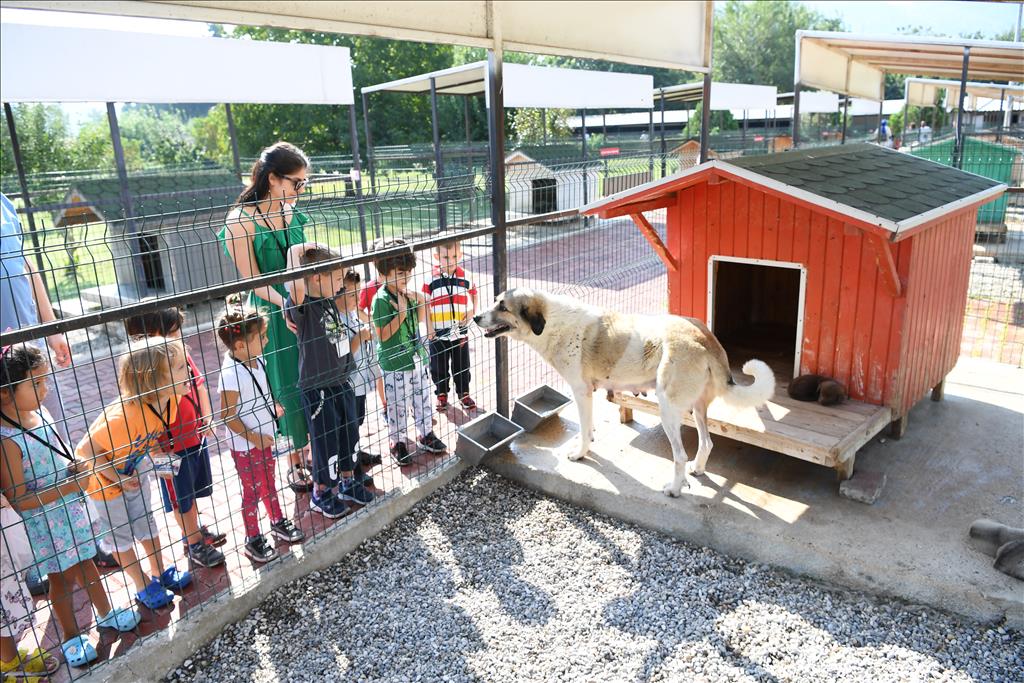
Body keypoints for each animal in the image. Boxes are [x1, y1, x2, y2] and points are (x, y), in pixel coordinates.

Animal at [474, 288, 776, 496]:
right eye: (495, 301)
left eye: (503, 307)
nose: (476, 317)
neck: (550, 322)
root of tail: (705, 338)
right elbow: (588, 427)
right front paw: (589, 440)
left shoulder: (581, 391)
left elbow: (583, 427)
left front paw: (580, 454)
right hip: (697, 408)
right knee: (706, 443)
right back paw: (698, 469)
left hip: (668, 409)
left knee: (679, 455)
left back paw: (674, 489)